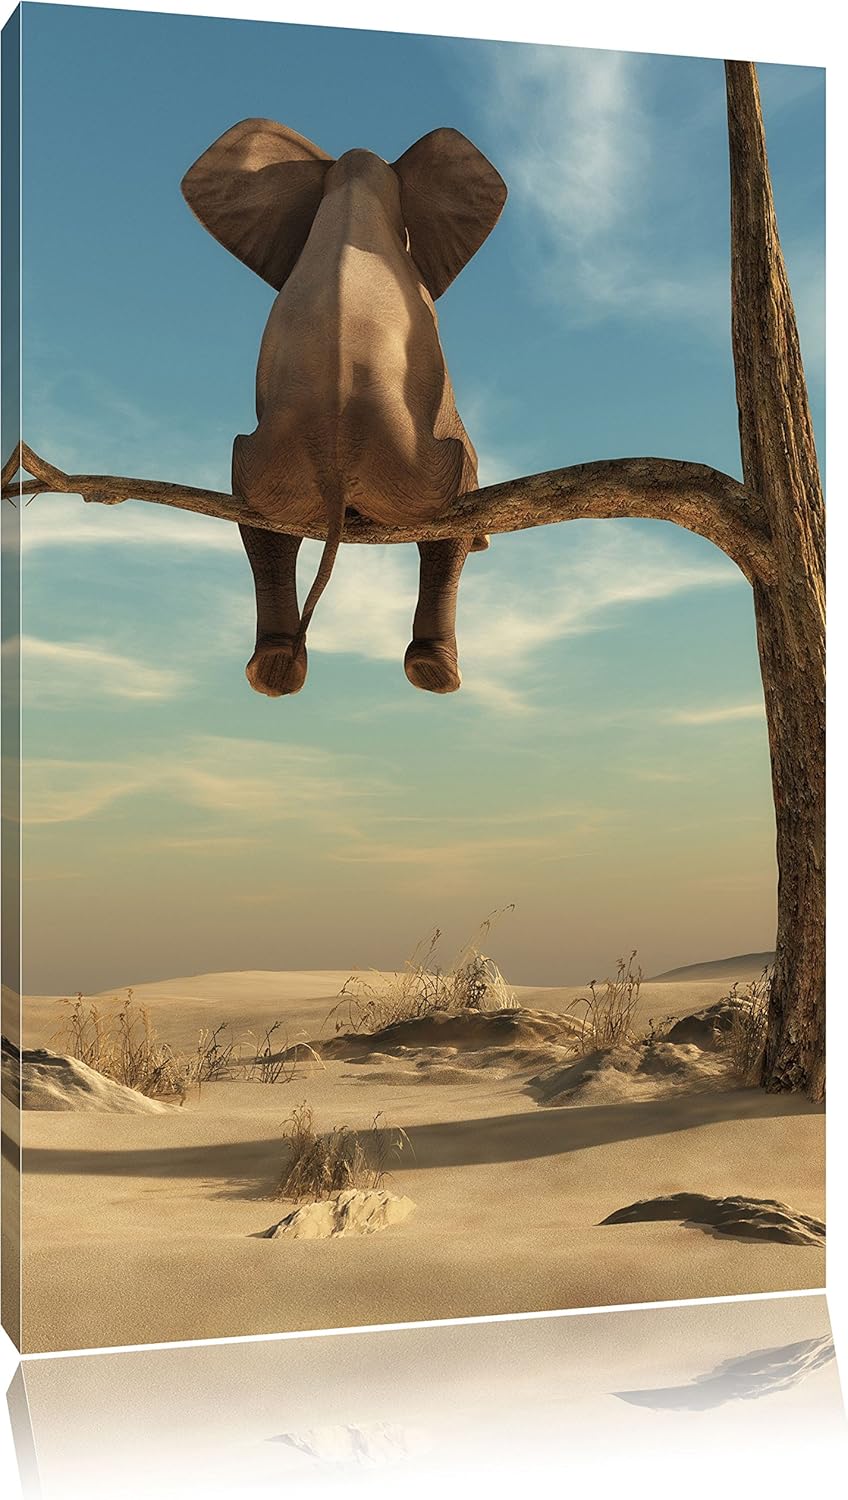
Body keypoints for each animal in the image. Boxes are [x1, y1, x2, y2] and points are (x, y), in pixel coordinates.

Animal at [181, 120, 507, 697]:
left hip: (270, 468)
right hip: (418, 472)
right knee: (449, 513)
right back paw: (435, 674)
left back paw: (273, 672)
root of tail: (335, 466)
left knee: (260, 523)